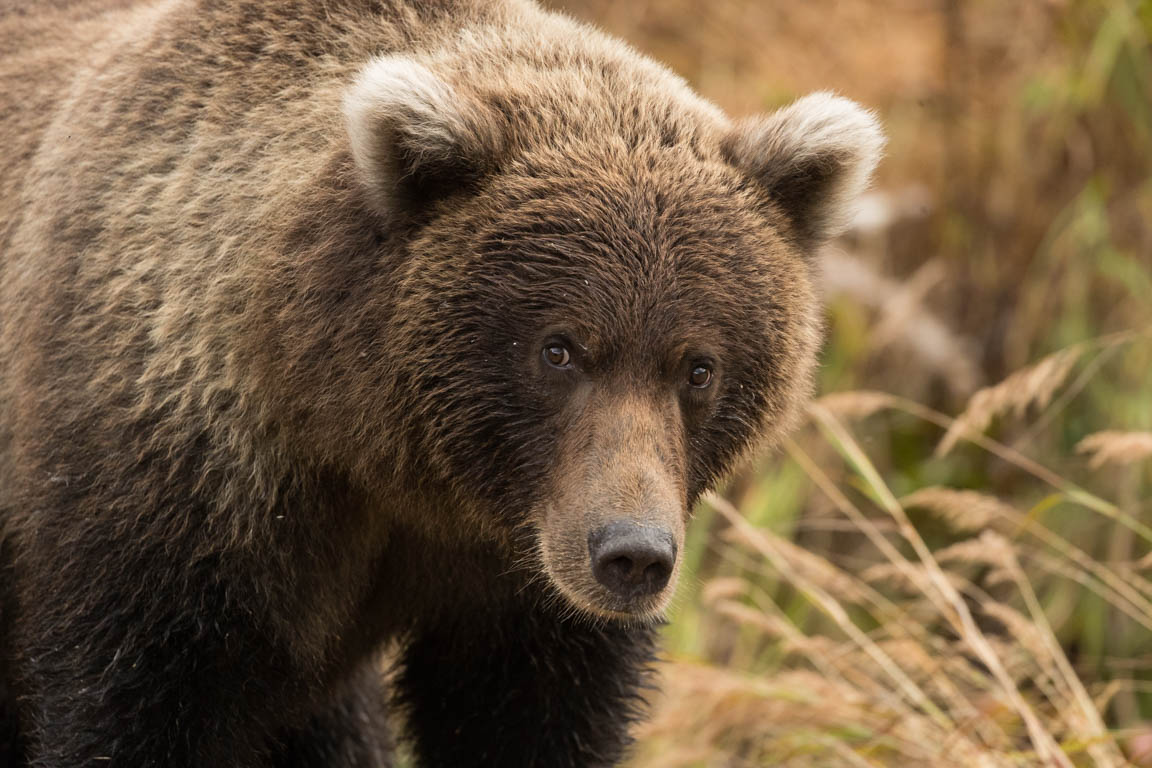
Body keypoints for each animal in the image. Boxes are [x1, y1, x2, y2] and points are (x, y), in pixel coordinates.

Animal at [0, 0, 880, 764]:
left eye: (699, 367)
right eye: (560, 349)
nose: (632, 554)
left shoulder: (521, 591)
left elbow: (531, 718)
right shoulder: (174, 500)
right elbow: (137, 706)